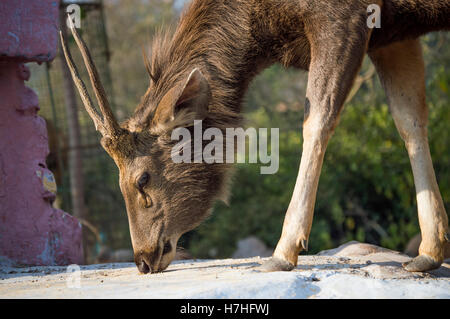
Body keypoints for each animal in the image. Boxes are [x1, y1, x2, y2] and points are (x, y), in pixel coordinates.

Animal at [60, 0, 450, 276]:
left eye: (142, 179)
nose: (142, 259)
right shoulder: (394, 33)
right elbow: (410, 120)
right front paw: (428, 252)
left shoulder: (344, 15)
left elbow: (317, 117)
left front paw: (283, 252)